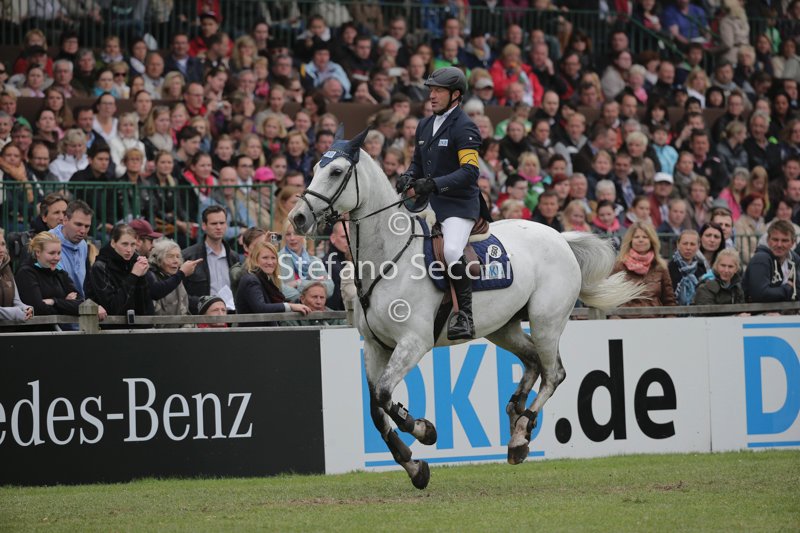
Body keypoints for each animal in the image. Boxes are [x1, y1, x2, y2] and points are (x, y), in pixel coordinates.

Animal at [289, 129, 645, 490]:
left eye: (336, 172)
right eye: (316, 167)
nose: (298, 218)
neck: (389, 257)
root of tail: (559, 237)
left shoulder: (413, 342)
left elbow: (386, 395)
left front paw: (425, 431)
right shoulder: (376, 347)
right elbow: (377, 407)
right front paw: (414, 467)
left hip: (546, 321)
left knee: (553, 373)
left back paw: (521, 435)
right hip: (504, 327)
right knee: (532, 361)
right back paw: (515, 416)